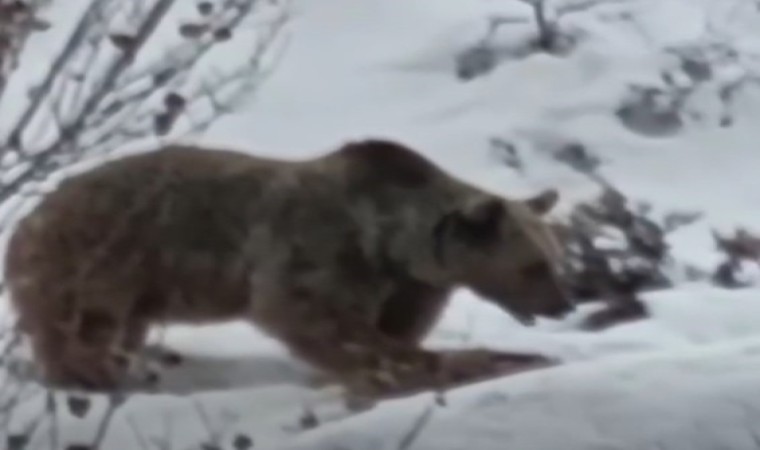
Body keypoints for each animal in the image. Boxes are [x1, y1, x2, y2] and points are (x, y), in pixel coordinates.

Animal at [2, 138, 572, 400]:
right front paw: (415, 366)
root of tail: (25, 220)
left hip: (133, 283)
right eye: (533, 266)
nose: (564, 302)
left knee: (119, 329)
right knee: (82, 329)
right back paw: (88, 376)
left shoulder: (408, 287)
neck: (394, 242)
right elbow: (311, 315)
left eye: (554, 258)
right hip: (97, 260)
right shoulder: (322, 250)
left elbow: (394, 328)